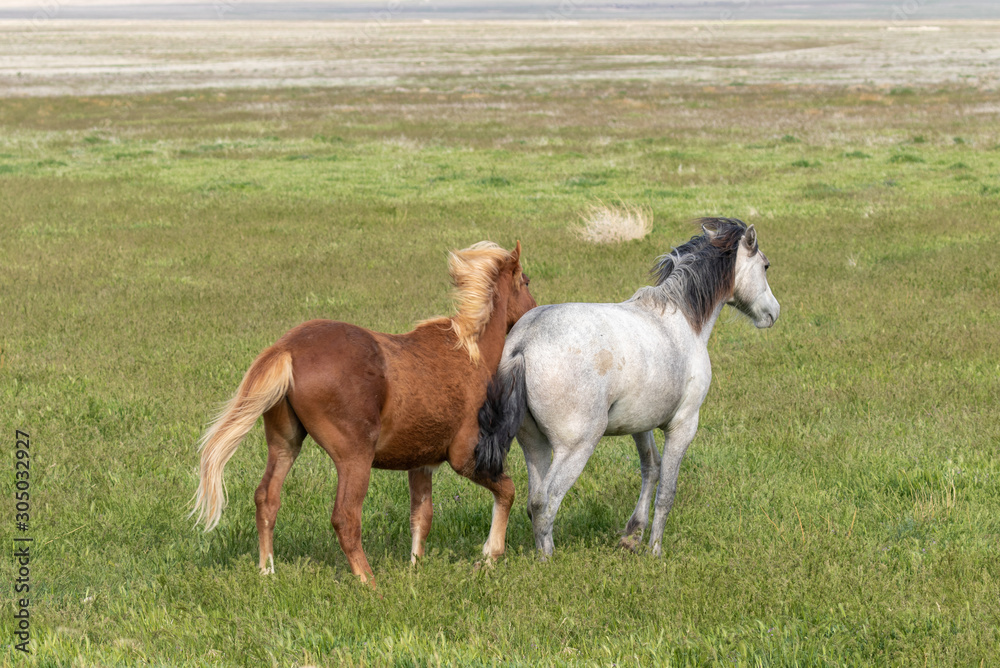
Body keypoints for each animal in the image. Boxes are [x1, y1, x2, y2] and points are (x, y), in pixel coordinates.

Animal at [192, 243, 536, 580]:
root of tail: (286, 348)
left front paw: (415, 568)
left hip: (285, 443)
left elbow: (421, 516)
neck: (470, 354)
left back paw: (267, 572)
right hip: (354, 456)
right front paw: (489, 556)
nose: (534, 310)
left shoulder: (421, 462)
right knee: (345, 517)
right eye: (527, 281)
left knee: (266, 499)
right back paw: (369, 582)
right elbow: (507, 491)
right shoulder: (464, 456)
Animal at [476, 218, 780, 552]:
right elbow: (667, 492)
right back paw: (549, 559)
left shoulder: (640, 425)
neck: (683, 320)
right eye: (765, 266)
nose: (773, 313)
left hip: (535, 447)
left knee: (534, 501)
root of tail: (524, 344)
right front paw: (654, 549)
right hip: (576, 448)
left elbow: (651, 467)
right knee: (546, 503)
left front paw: (634, 533)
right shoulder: (684, 426)